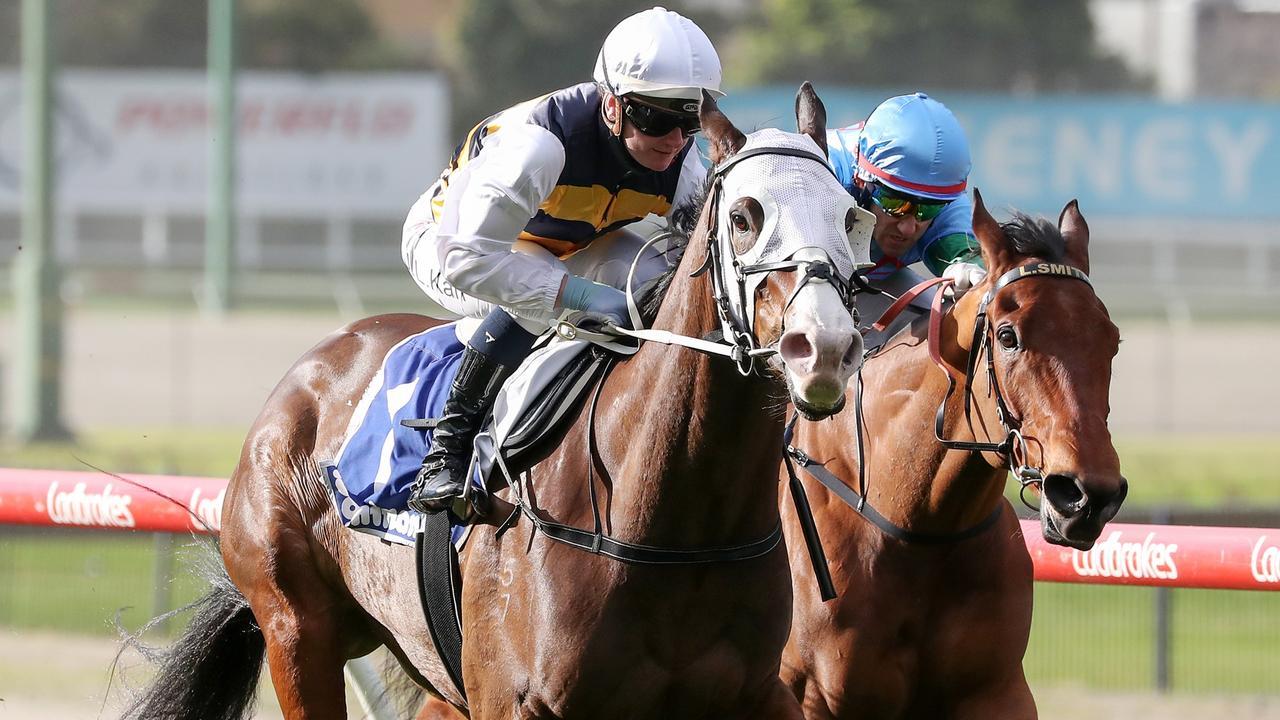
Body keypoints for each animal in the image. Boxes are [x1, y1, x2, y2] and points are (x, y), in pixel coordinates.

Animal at [124, 85, 870, 717]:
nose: (824, 348)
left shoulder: (754, 695)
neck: (675, 520)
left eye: (849, 215)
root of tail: (312, 369)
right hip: (296, 628)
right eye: (743, 216)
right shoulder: (513, 699)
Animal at [773, 192, 1126, 717]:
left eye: (1112, 340)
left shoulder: (998, 691)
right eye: (1007, 335)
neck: (917, 529)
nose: (1088, 495)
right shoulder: (809, 696)